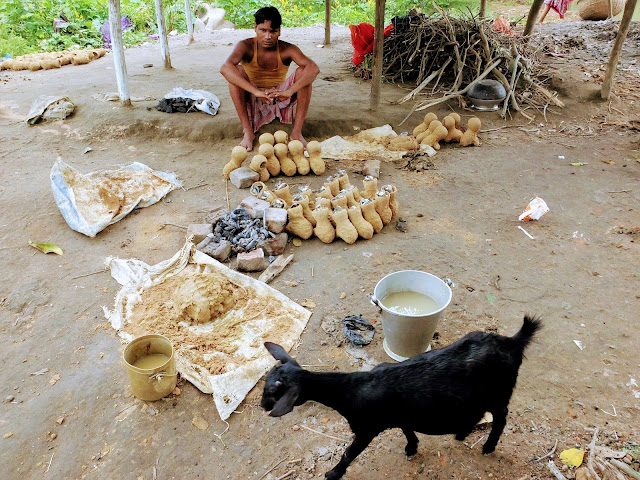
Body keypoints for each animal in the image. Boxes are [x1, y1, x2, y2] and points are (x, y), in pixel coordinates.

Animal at [260, 316, 540, 480]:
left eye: (272, 393)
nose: (262, 406)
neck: (351, 389)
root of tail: (513, 342)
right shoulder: (399, 413)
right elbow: (406, 429)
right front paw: (411, 448)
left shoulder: (367, 428)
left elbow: (349, 453)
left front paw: (332, 474)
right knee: (478, 413)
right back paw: (461, 433)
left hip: (499, 392)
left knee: (500, 417)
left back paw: (488, 446)